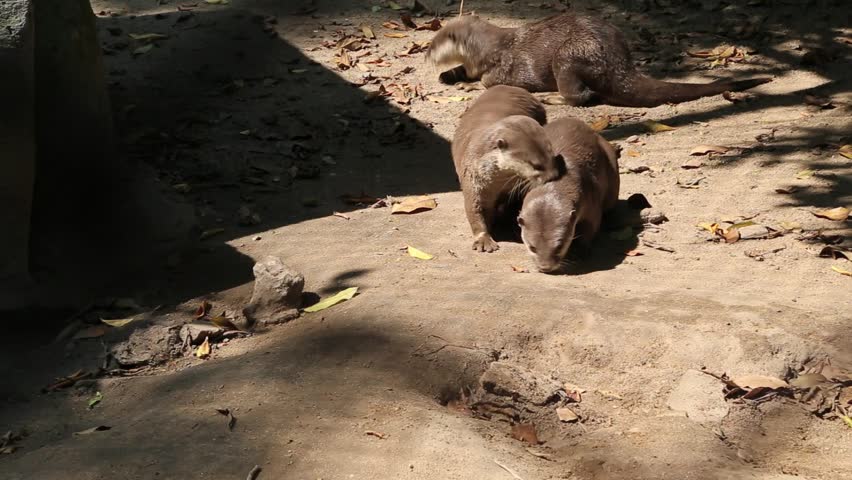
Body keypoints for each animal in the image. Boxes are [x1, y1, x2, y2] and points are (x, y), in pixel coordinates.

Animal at [427, 14, 772, 107]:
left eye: (433, 42)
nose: (426, 53)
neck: (487, 50)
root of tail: (621, 62)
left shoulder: (508, 64)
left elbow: (490, 80)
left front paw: (472, 84)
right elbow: (465, 71)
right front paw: (449, 75)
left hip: (569, 56)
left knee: (581, 95)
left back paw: (553, 98)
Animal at [452, 85, 562, 252]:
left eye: (553, 157)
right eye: (536, 165)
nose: (554, 176)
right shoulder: (472, 180)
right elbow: (474, 210)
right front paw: (484, 240)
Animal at [518, 117, 620, 273]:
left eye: (559, 247)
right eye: (532, 247)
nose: (545, 267)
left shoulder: (590, 204)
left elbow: (591, 227)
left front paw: (580, 251)